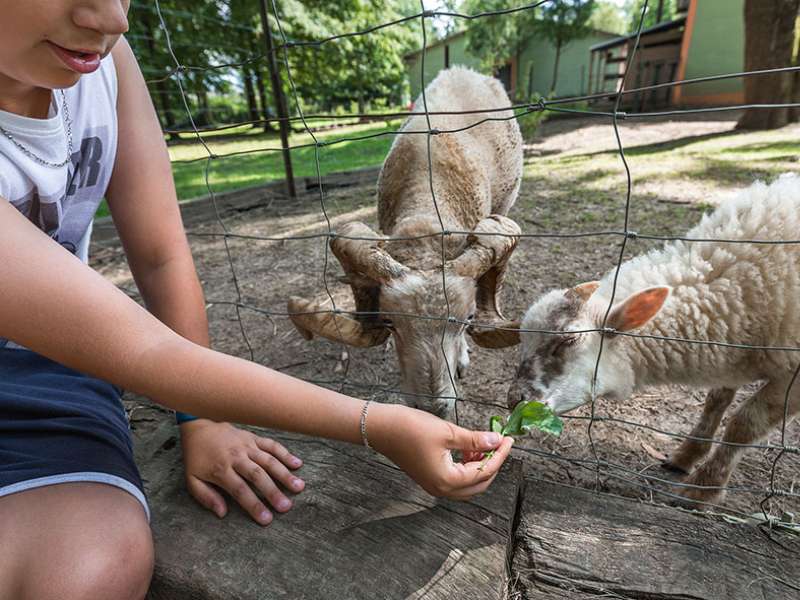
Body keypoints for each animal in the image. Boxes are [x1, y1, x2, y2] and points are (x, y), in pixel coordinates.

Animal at [506, 175, 800, 506]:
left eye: (569, 340)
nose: (514, 399)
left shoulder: (792, 378)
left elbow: (744, 425)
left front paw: (702, 490)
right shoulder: (733, 351)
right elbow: (716, 400)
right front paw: (686, 456)